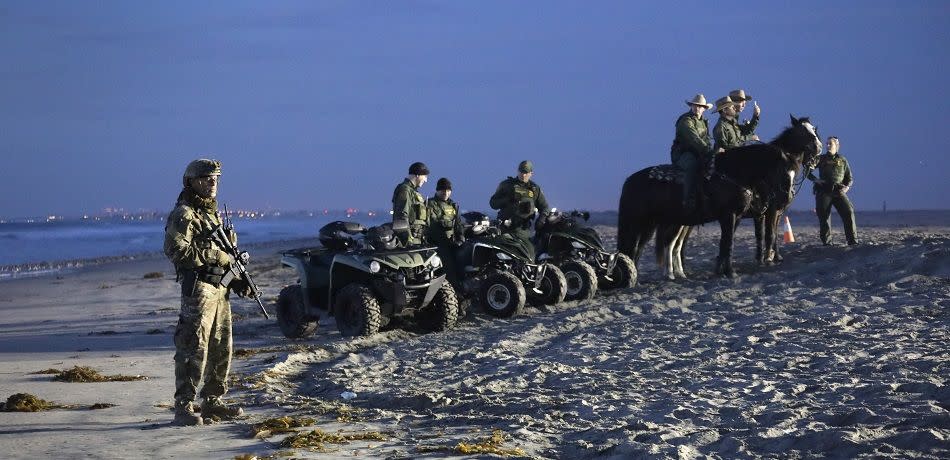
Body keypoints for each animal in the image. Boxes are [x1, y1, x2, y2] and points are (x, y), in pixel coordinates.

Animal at [620, 117, 820, 278]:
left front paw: (723, 269)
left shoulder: (745, 215)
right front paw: (736, 270)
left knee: (660, 246)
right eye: (803, 131)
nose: (818, 147)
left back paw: (672, 273)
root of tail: (630, 180)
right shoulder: (747, 214)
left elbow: (731, 242)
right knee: (642, 247)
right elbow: (755, 237)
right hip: (642, 222)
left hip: (662, 223)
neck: (733, 172)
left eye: (814, 129)